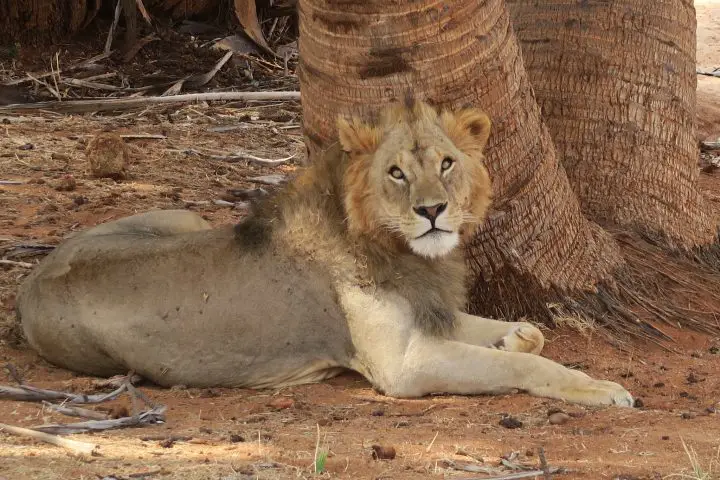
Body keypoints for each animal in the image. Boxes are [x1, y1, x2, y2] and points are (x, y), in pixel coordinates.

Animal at [16, 99, 632, 406]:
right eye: (396, 173)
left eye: (447, 164)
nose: (432, 211)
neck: (402, 253)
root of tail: (30, 278)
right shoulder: (403, 365)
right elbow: (521, 363)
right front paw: (598, 387)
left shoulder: (426, 317)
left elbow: (517, 336)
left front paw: (517, 332)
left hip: (188, 219)